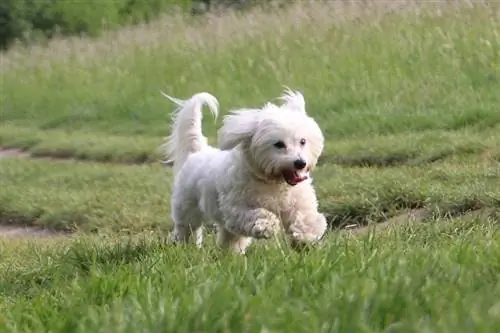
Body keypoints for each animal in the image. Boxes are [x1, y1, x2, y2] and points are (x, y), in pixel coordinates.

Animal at [160, 88, 330, 252]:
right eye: (279, 144)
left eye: (303, 141)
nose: (300, 163)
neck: (273, 182)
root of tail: (198, 151)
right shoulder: (236, 208)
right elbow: (256, 214)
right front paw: (268, 225)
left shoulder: (298, 202)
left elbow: (305, 217)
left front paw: (306, 238)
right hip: (187, 207)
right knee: (188, 229)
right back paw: (185, 246)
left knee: (229, 237)